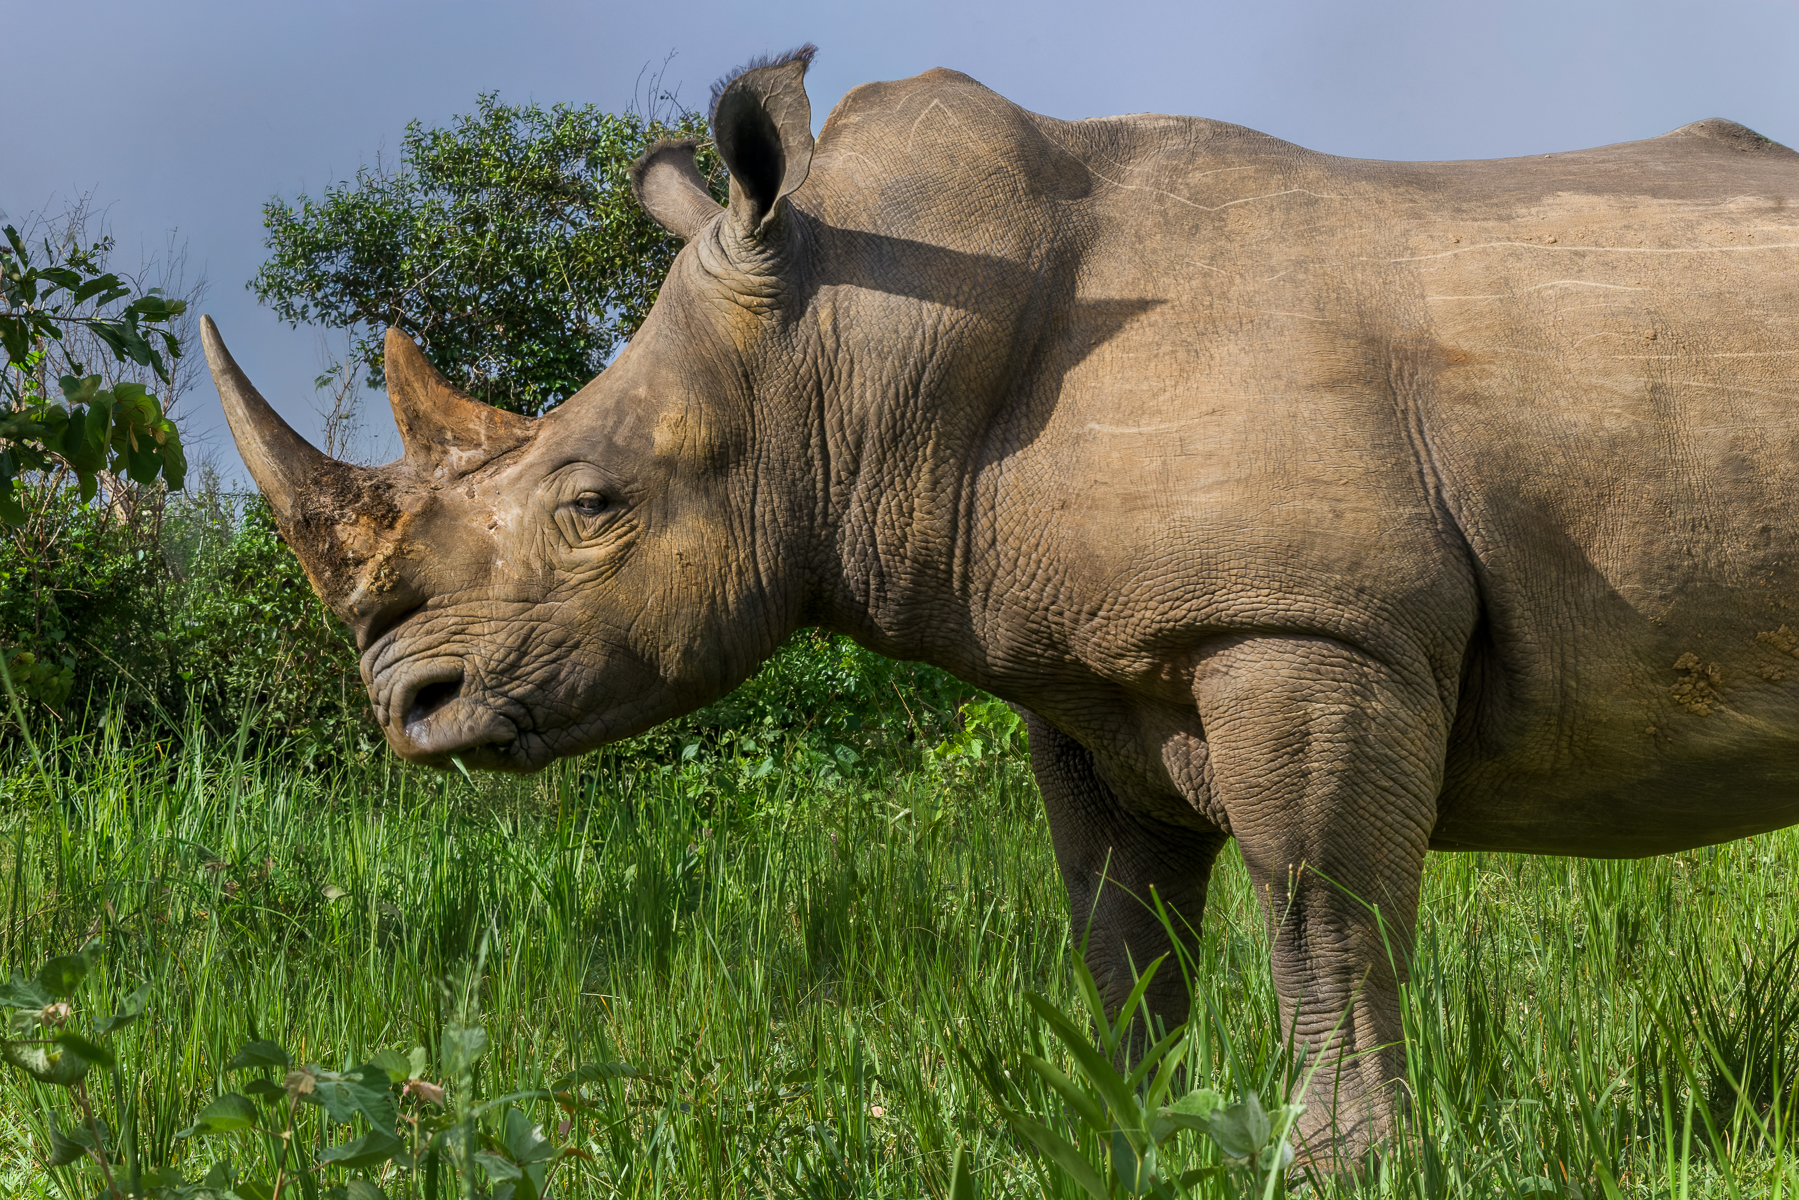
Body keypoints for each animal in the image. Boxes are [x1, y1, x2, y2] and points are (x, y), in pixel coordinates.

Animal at [204, 46, 1799, 1155]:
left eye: (592, 506)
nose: (406, 707)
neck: (853, 353)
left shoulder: (1306, 622)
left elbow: (1322, 925)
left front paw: (1338, 1167)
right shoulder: (1088, 681)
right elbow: (1123, 946)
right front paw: (1135, 1142)